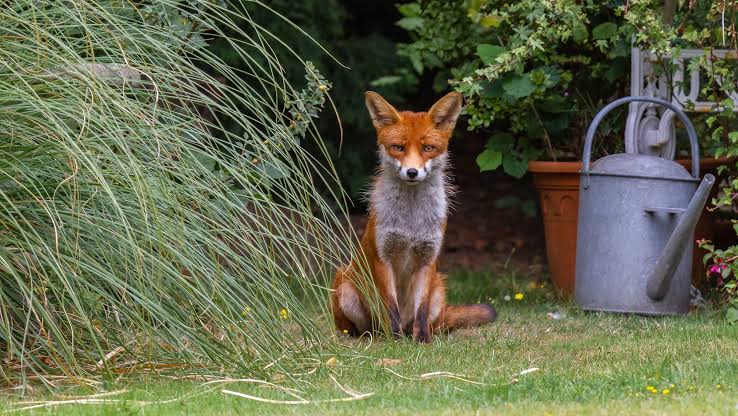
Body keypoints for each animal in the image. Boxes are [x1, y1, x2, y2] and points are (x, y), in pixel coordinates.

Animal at [330, 91, 497, 343]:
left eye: (428, 147)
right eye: (398, 147)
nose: (412, 172)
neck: (411, 222)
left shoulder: (428, 257)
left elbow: (422, 309)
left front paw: (423, 342)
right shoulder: (383, 257)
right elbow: (391, 307)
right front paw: (395, 341)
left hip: (439, 290)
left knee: (429, 321)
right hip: (345, 289)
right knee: (366, 328)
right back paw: (377, 337)